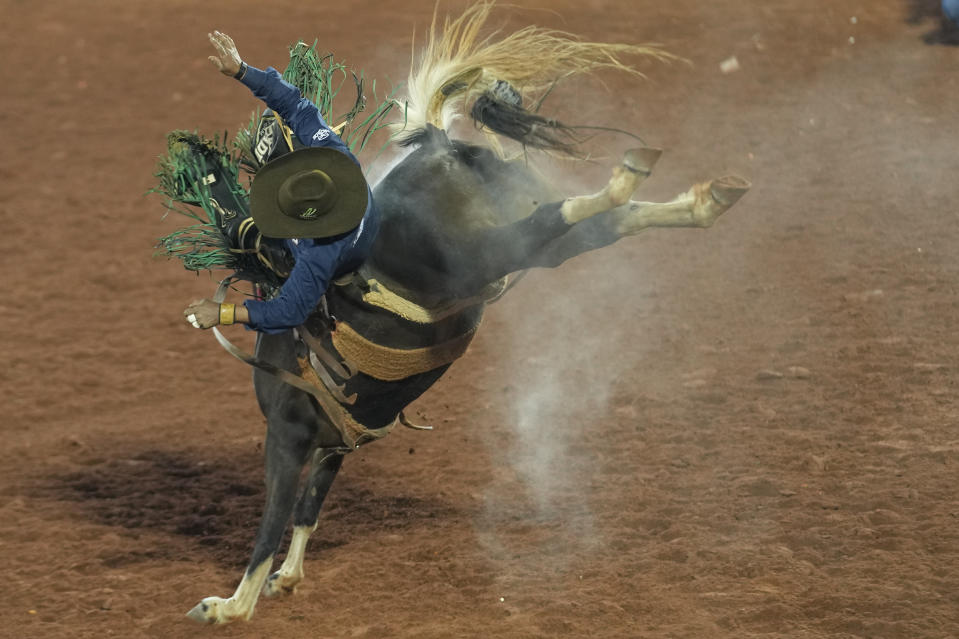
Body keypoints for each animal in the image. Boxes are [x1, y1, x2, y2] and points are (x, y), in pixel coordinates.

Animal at [152, 2, 752, 624]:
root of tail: (444, 147)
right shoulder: (335, 438)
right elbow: (310, 508)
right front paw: (288, 579)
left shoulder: (288, 432)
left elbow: (273, 523)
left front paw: (229, 605)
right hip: (529, 242)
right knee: (603, 223)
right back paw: (705, 198)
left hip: (480, 255)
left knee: (550, 220)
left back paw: (628, 177)